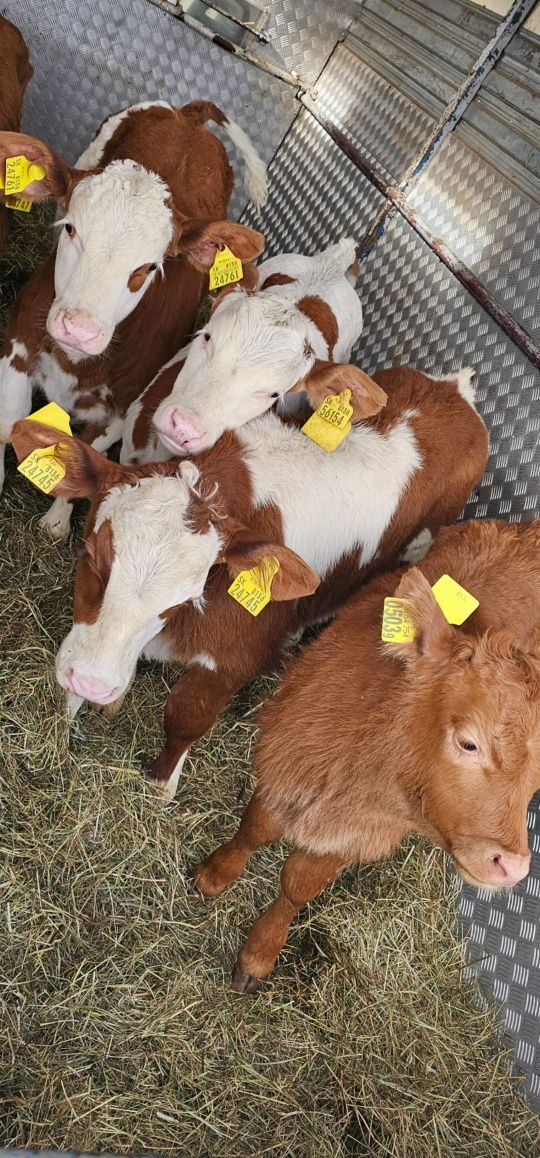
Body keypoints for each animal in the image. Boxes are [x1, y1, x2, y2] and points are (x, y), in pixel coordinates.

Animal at [0, 99, 265, 532]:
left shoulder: (125, 408)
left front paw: (58, 519)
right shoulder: (18, 341)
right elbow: (8, 423)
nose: (79, 329)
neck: (78, 364)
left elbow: (88, 451)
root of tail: (188, 115)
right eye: (70, 228)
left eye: (149, 266)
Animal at [195, 518, 540, 995]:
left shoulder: (360, 835)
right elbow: (253, 830)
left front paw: (259, 953)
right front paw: (214, 874)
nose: (512, 867)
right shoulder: (282, 765)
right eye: (468, 742)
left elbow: (297, 885)